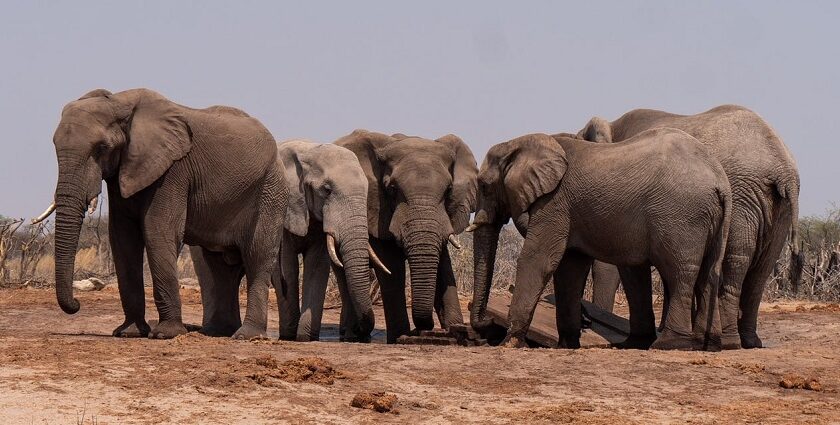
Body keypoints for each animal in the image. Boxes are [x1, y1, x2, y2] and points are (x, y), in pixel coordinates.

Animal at [34, 88, 286, 338]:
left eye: (101, 148)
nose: (77, 304)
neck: (119, 102)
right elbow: (123, 239)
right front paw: (129, 332)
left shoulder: (173, 171)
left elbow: (158, 232)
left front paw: (166, 334)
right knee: (219, 267)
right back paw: (217, 332)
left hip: (270, 190)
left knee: (257, 256)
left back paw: (247, 335)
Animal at [470, 130, 732, 352]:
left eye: (484, 185)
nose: (487, 323)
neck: (521, 143)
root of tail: (720, 180)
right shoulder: (569, 210)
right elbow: (570, 269)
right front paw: (567, 345)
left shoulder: (554, 203)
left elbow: (539, 259)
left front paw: (509, 342)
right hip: (707, 219)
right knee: (708, 274)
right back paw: (705, 344)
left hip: (682, 216)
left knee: (679, 273)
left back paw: (668, 344)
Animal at [576, 105, 800, 348]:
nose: (587, 322)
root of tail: (784, 168)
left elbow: (617, 264)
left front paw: (634, 342)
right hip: (778, 208)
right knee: (761, 269)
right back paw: (749, 342)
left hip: (743, 197)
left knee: (736, 261)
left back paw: (728, 341)